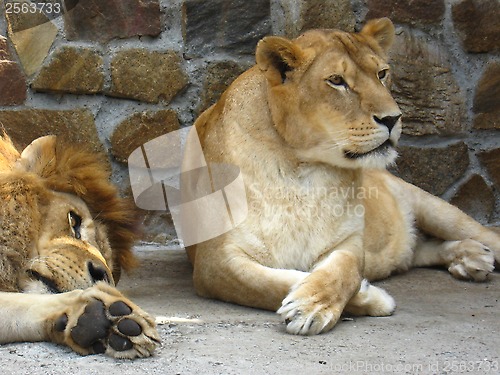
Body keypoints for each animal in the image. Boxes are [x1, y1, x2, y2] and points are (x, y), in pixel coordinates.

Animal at [186, 17, 500, 336]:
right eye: (337, 81)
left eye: (382, 73)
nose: (393, 118)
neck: (299, 166)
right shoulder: (215, 263)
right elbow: (268, 283)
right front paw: (371, 297)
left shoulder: (348, 239)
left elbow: (343, 272)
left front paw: (312, 306)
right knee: (418, 250)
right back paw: (471, 258)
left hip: (435, 209)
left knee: (483, 235)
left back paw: (476, 253)